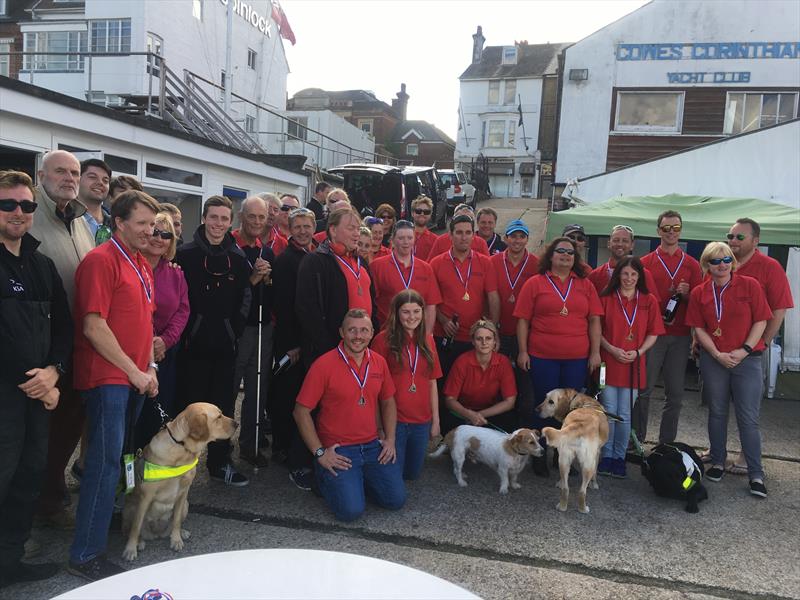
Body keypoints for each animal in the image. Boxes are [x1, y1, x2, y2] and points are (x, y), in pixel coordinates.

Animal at [120, 400, 236, 560]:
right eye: (218, 417)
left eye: (221, 414)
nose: (237, 423)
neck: (181, 448)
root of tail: (157, 534)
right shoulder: (145, 497)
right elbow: (135, 527)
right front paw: (130, 549)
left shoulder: (183, 493)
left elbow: (176, 521)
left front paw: (176, 540)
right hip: (130, 508)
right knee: (132, 528)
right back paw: (140, 542)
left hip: (186, 505)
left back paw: (181, 532)